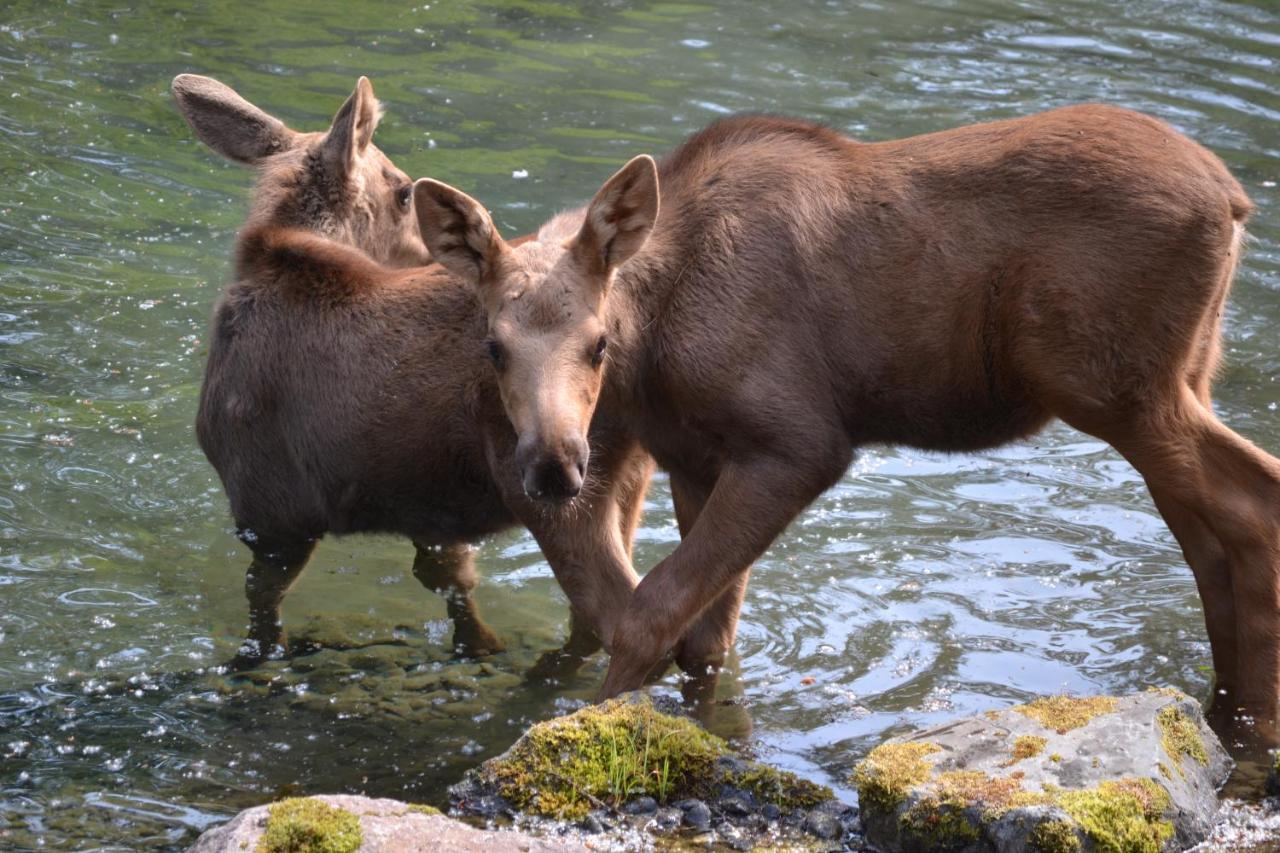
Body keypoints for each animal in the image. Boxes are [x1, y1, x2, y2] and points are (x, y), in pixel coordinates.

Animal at [171, 73, 655, 666]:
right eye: (404, 192)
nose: (432, 252)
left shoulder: (267, 511)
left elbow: (263, 611)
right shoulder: (433, 514)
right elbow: (451, 580)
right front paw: (481, 648)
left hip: (561, 489)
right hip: (631, 476)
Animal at [414, 106, 1274, 742]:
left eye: (597, 342)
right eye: (493, 345)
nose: (554, 464)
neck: (654, 340)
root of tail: (1234, 202)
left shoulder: (798, 444)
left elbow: (650, 611)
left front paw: (587, 727)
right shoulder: (696, 458)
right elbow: (706, 638)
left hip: (1119, 390)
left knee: (1251, 505)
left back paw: (1252, 723)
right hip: (1182, 379)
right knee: (1208, 541)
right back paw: (1222, 710)